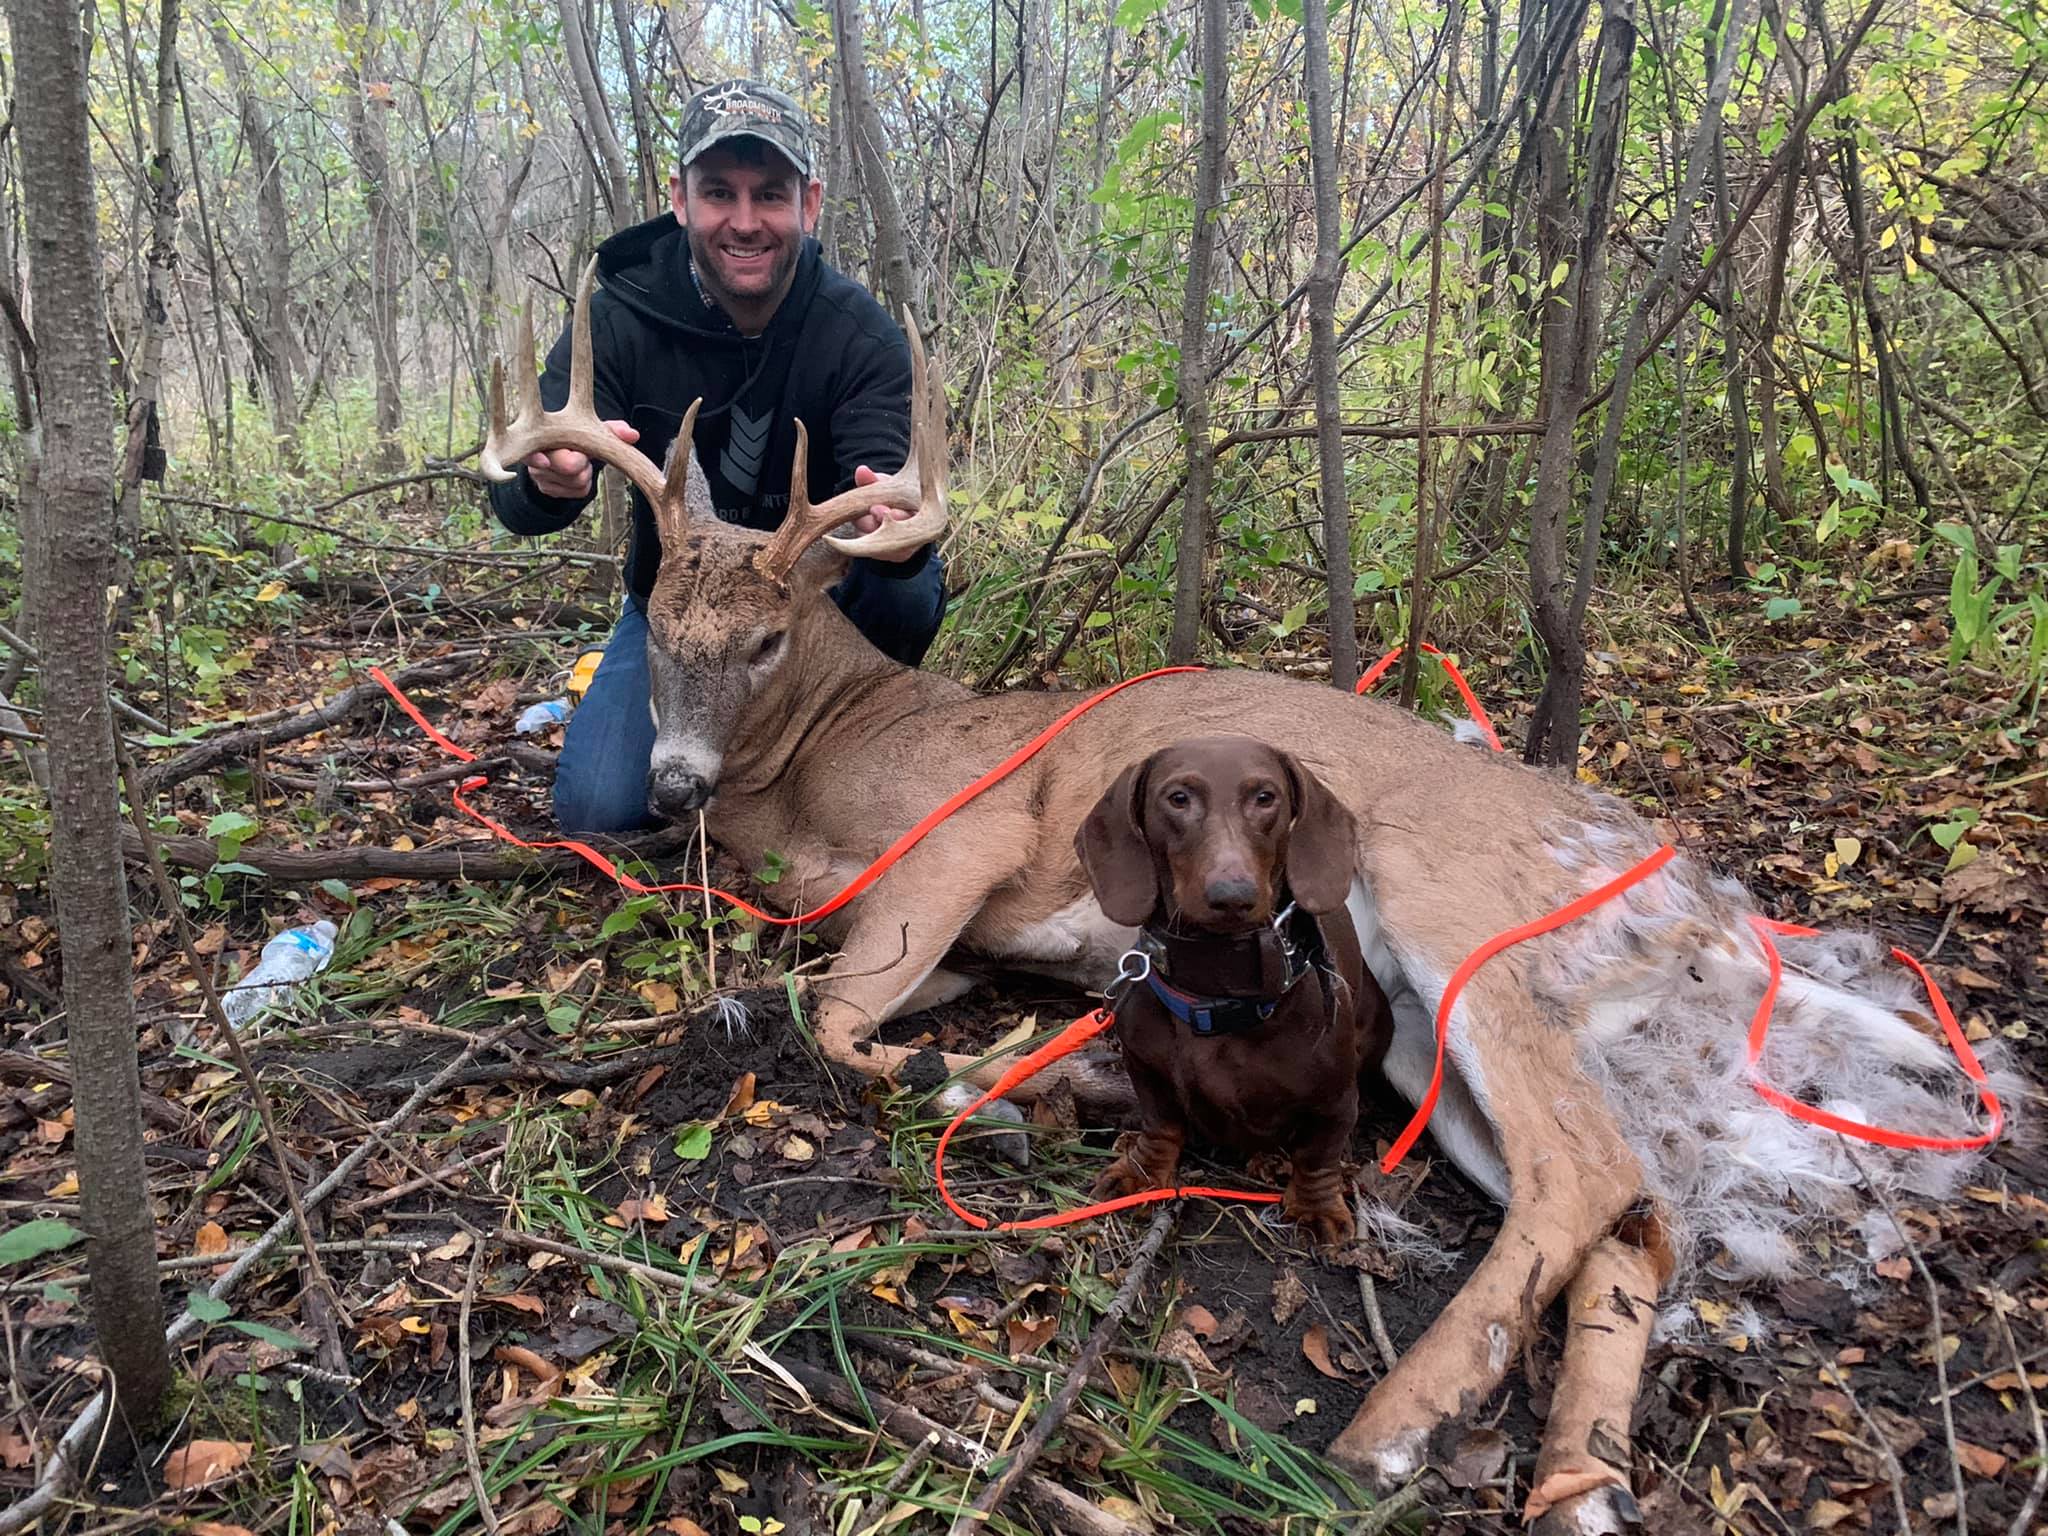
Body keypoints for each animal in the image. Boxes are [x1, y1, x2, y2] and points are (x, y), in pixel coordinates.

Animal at [1075, 734, 1395, 1246]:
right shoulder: (1145, 1069)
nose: (1232, 895)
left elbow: (1319, 1155)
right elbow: (1161, 1124)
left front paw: (1317, 1206)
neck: (1216, 988)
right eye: (1178, 797)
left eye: (1265, 797)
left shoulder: (1334, 1102)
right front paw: (1142, 1173)